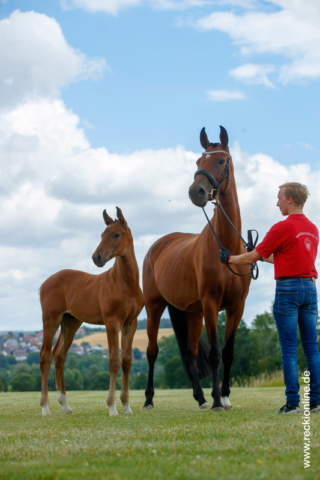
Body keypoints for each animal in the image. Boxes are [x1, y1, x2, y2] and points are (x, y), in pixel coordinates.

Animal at [39, 209, 144, 416]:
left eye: (116, 234)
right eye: (102, 234)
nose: (97, 257)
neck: (126, 283)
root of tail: (44, 283)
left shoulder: (131, 323)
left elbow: (127, 361)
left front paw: (126, 406)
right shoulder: (112, 321)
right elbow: (114, 361)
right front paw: (112, 407)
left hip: (70, 322)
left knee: (59, 355)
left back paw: (65, 405)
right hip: (51, 320)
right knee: (45, 356)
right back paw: (45, 408)